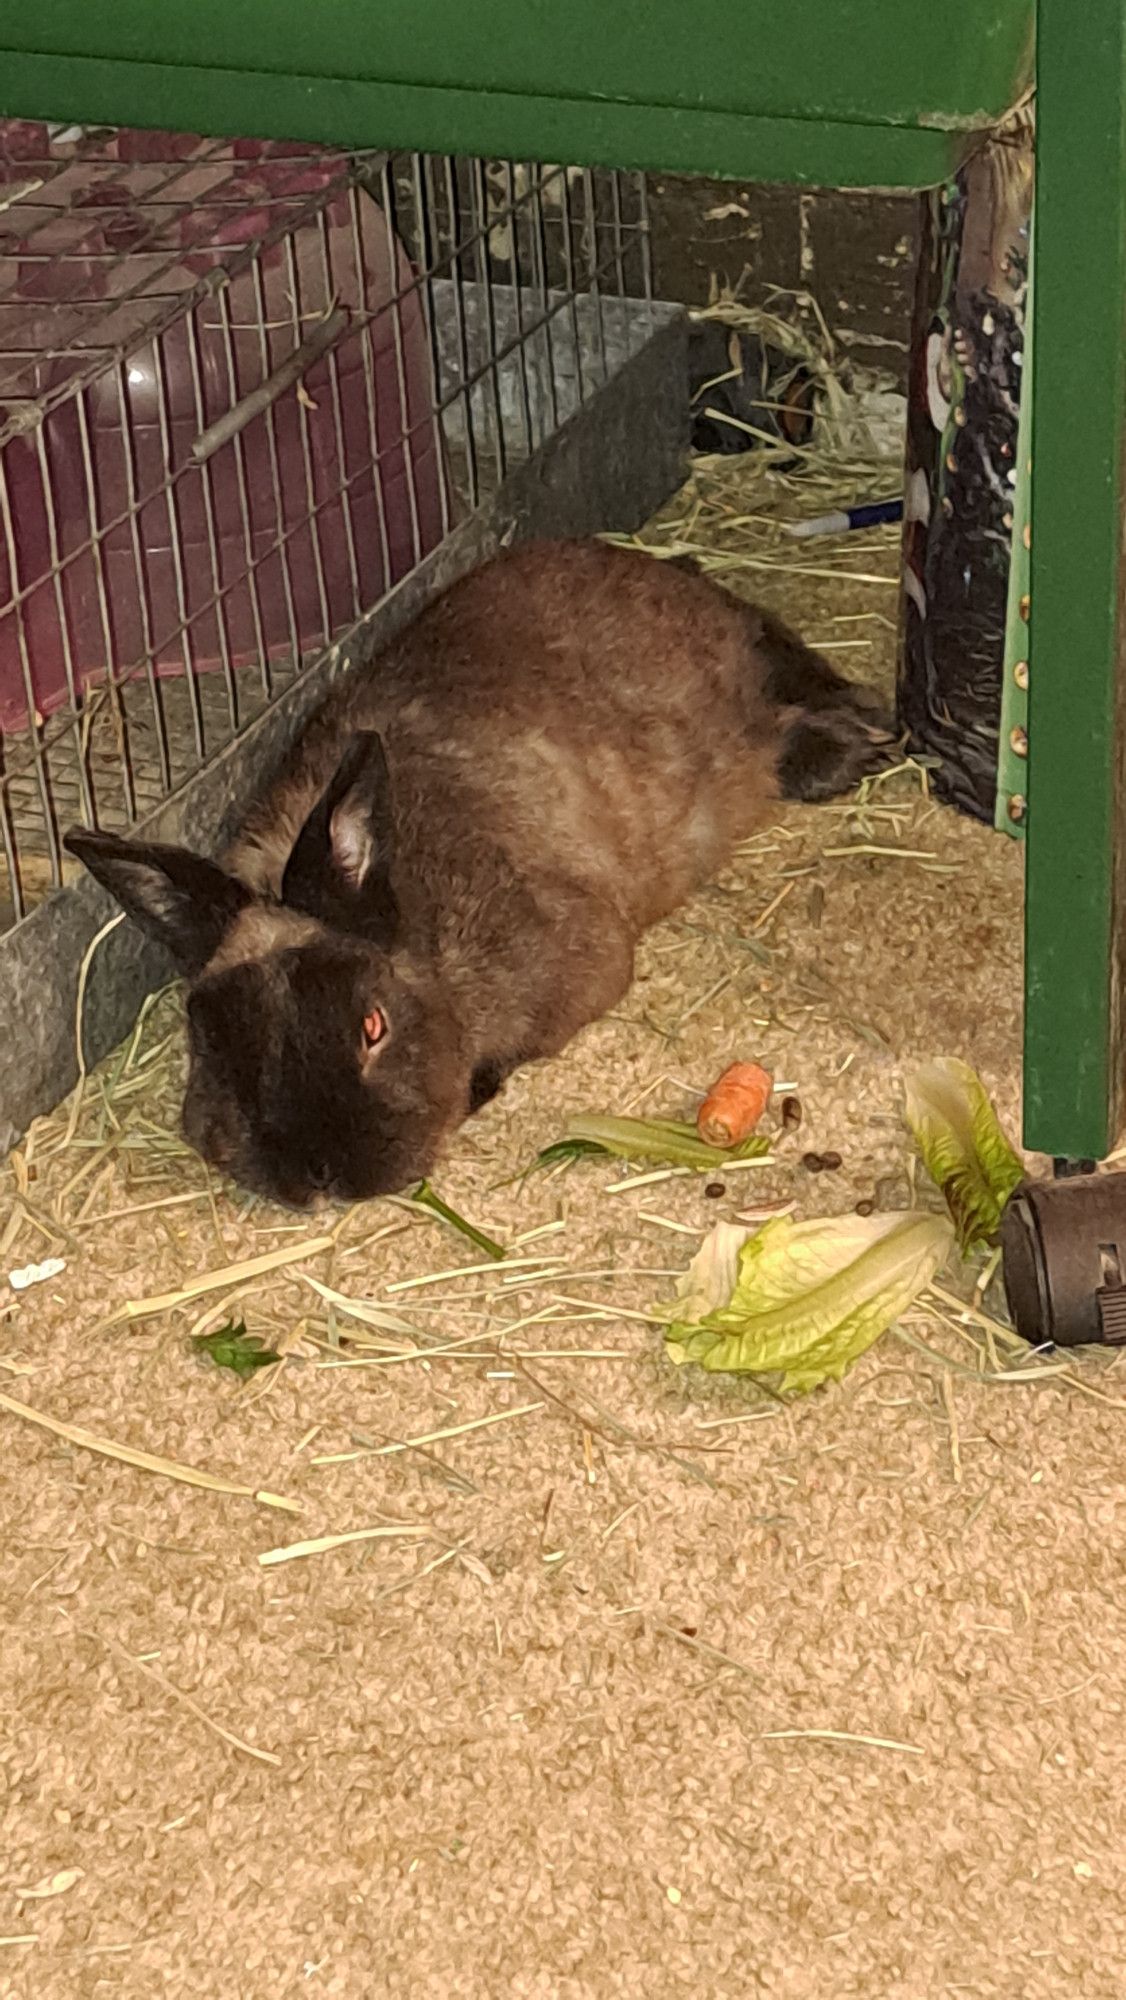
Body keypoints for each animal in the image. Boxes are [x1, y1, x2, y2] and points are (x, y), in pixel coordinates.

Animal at [66, 536, 896, 1200]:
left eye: (373, 1026)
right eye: (214, 1048)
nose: (321, 1176)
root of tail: (646, 562)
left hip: (738, 661)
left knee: (780, 661)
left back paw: (860, 738)